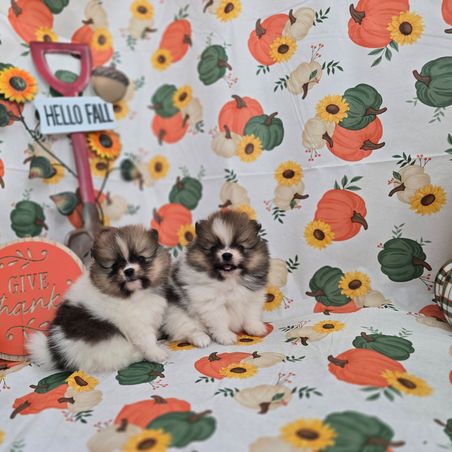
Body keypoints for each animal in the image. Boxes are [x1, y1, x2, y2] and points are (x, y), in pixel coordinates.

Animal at [27, 225, 170, 372]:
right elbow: (147, 340)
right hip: (108, 342)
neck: (135, 294)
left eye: (141, 258)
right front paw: (157, 353)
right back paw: (137, 355)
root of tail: (58, 353)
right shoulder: (135, 324)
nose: (128, 270)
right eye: (114, 266)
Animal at [163, 210, 270, 347]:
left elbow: (251, 314)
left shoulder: (253, 297)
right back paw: (201, 338)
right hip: (176, 313)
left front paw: (255, 328)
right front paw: (225, 336)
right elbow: (220, 320)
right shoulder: (211, 302)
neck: (230, 280)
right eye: (214, 248)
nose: (226, 255)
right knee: (186, 329)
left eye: (240, 247)